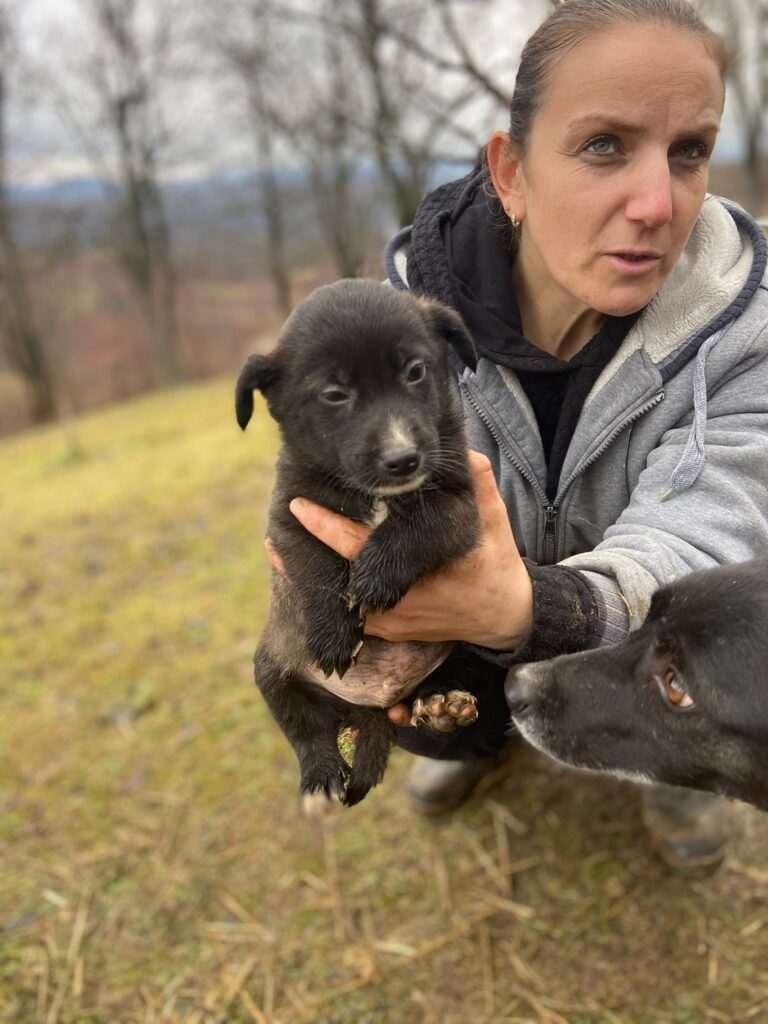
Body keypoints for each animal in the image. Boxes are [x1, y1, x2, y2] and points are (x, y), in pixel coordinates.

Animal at [236, 278, 506, 809]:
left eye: (415, 371)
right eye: (335, 394)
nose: (403, 459)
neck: (375, 495)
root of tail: (371, 704)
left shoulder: (459, 503)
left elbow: (420, 524)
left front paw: (376, 576)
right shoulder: (291, 515)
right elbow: (315, 565)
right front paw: (333, 632)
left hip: (470, 641)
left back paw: (442, 707)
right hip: (271, 665)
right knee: (305, 726)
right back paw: (320, 778)